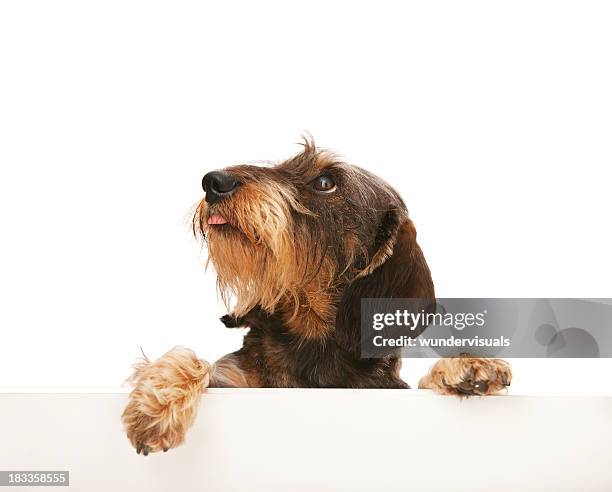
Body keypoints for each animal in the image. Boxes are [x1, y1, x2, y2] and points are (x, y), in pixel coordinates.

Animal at [120, 138, 512, 454]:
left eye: (325, 182)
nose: (214, 182)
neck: (310, 336)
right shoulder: (235, 381)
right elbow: (193, 357)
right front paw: (154, 406)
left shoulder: (387, 389)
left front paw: (469, 366)